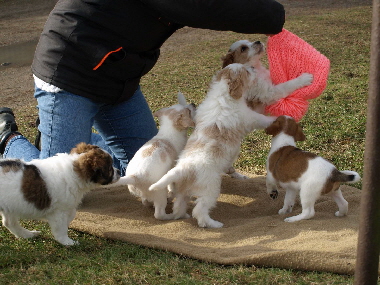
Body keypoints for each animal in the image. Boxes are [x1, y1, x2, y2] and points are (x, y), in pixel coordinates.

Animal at [149, 63, 280, 227]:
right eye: (246, 71)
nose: (252, 66)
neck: (221, 94)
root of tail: (182, 169)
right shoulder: (251, 117)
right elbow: (265, 119)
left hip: (183, 192)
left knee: (179, 206)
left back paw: (183, 215)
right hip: (210, 190)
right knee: (199, 211)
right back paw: (213, 224)